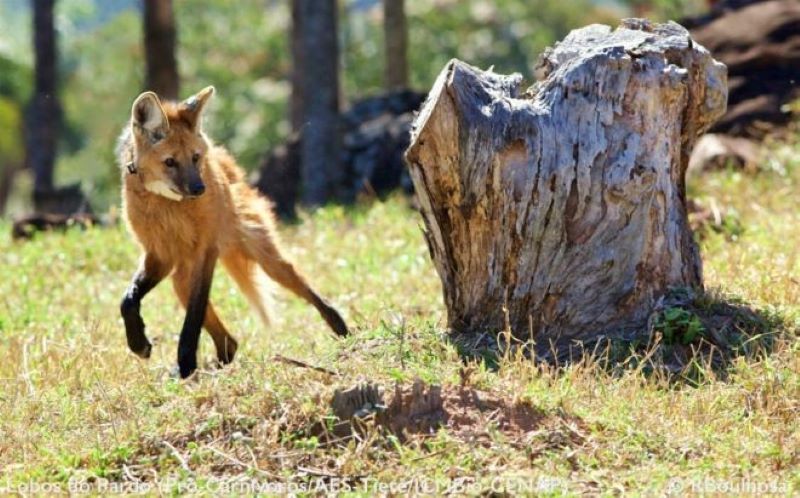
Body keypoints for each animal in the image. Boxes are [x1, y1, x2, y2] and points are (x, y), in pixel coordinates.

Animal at [117, 85, 348, 378]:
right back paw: (215, 362)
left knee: (304, 287)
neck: (167, 203)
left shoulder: (205, 251)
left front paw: (186, 363)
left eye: (195, 158)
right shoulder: (160, 254)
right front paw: (141, 345)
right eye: (170, 162)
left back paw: (343, 331)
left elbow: (192, 321)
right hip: (180, 279)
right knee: (229, 340)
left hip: (264, 258)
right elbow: (128, 300)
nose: (199, 189)